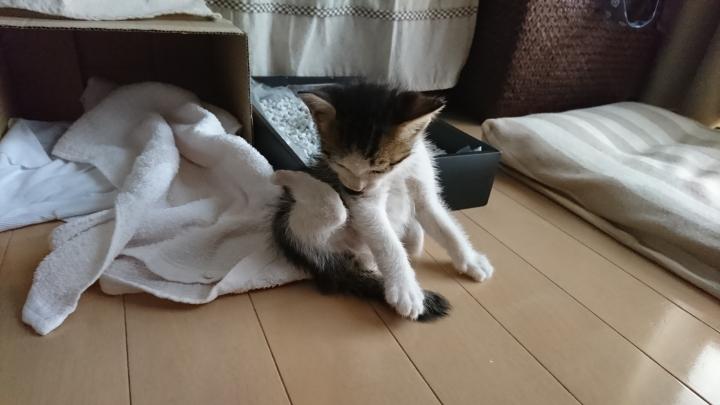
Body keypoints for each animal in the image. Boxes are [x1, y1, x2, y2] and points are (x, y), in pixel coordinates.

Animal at [271, 82, 494, 321]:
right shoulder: (364, 204)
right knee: (335, 208)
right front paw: (406, 289)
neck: (396, 173)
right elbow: (387, 241)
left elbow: (446, 227)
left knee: (412, 242)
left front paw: (471, 260)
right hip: (303, 230)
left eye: (378, 169)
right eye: (340, 165)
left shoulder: (423, 187)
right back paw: (286, 176)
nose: (353, 189)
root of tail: (330, 265)